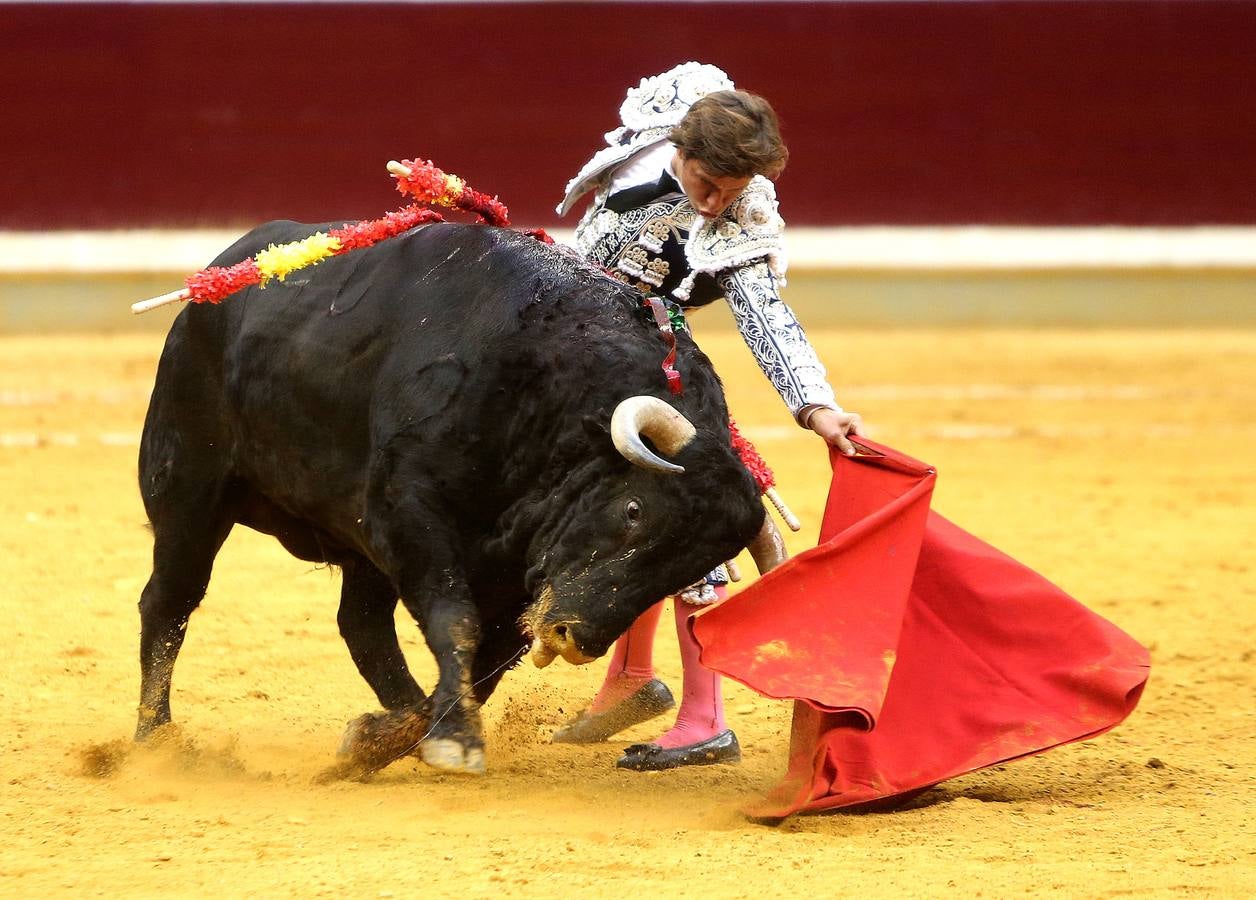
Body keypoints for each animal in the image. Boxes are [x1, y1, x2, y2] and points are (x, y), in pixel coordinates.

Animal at [137, 217, 778, 773]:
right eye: (634, 509)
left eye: (683, 571)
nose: (573, 638)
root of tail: (224, 269)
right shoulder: (409, 511)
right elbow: (457, 622)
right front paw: (451, 741)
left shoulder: (511, 571)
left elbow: (487, 663)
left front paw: (383, 739)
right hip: (188, 486)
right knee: (170, 601)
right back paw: (155, 743)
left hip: (357, 544)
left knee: (362, 626)